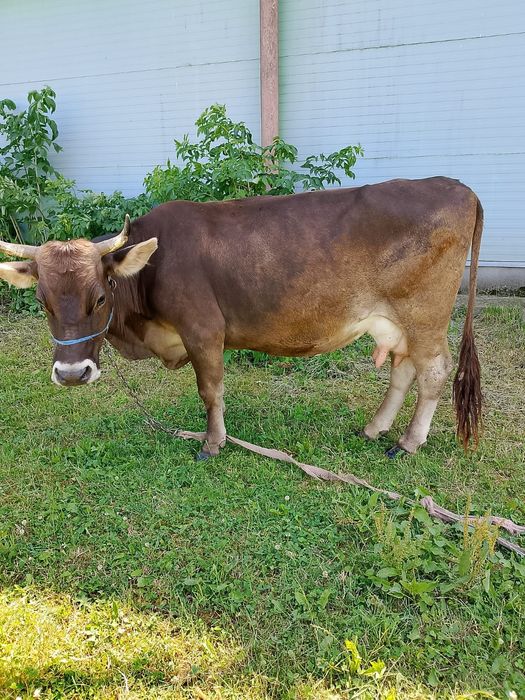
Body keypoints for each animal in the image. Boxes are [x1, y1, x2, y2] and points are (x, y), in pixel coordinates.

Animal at [0, 177, 482, 460]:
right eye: (42, 301)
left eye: (100, 297)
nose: (72, 373)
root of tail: (458, 186)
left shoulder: (203, 330)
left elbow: (210, 391)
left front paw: (212, 444)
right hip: (398, 322)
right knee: (403, 370)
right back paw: (375, 428)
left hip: (424, 316)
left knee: (434, 371)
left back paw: (408, 442)